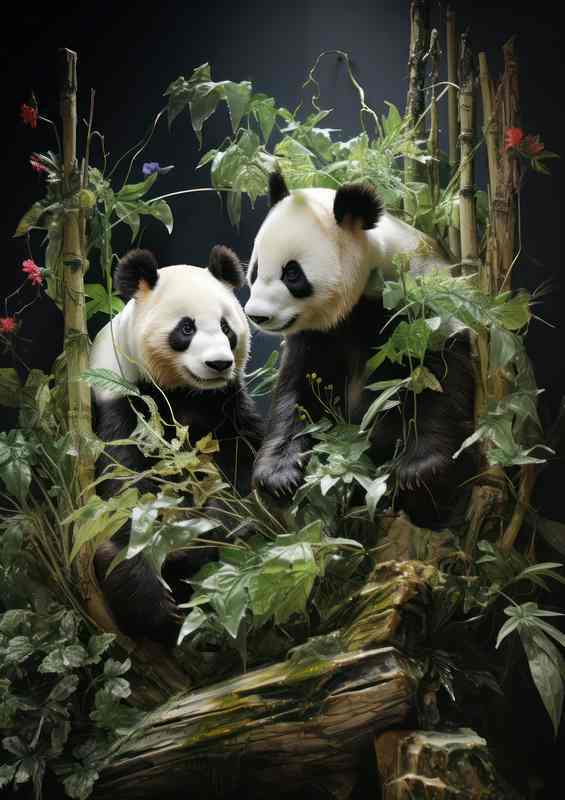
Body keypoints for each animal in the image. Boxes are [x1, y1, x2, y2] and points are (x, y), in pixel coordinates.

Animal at [89, 245, 262, 645]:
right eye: (187, 328)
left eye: (226, 327)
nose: (218, 363)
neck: (182, 390)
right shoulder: (118, 394)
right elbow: (122, 480)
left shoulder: (225, 402)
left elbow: (241, 460)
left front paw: (217, 524)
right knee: (113, 557)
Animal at [244, 172, 476, 529]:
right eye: (256, 269)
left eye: (292, 273)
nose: (257, 315)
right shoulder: (320, 334)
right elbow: (296, 392)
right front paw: (278, 475)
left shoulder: (422, 304)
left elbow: (439, 377)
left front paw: (417, 470)